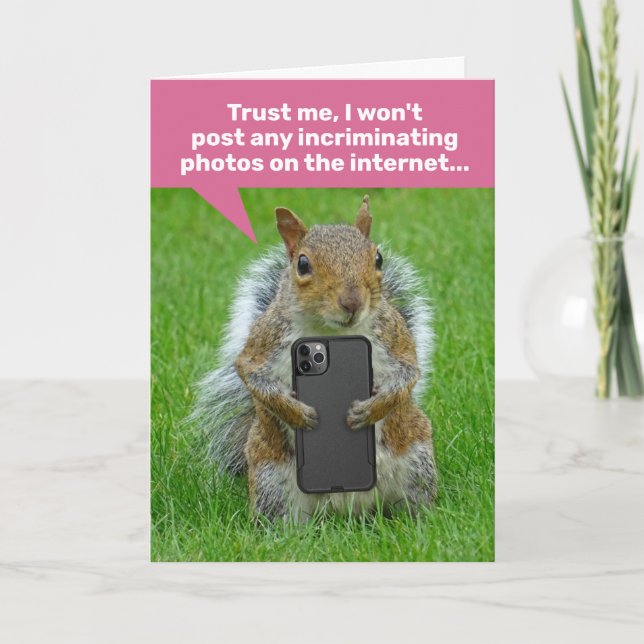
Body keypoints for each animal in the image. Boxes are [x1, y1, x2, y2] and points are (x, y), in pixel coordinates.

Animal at [192, 196, 437, 521]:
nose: (352, 302)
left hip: (417, 462)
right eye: (303, 264)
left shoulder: (394, 337)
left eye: (378, 259)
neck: (330, 332)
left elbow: (408, 375)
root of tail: (349, 510)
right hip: (271, 484)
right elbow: (251, 374)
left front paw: (370, 409)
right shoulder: (264, 341)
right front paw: (298, 413)